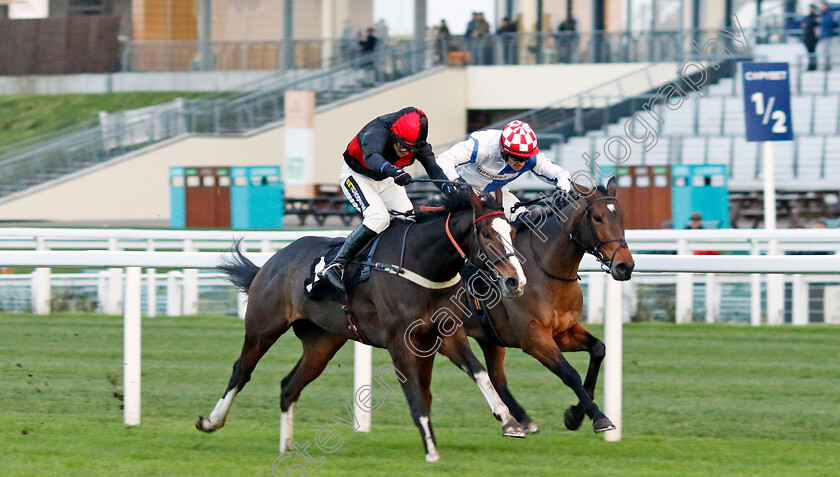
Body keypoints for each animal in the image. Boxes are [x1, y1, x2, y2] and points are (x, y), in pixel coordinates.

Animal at [194, 190, 528, 462]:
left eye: (511, 231)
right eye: (486, 233)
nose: (516, 281)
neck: (422, 265)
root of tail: (273, 260)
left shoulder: (446, 334)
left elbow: (479, 373)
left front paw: (509, 420)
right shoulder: (399, 342)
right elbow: (416, 395)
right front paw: (431, 450)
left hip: (321, 343)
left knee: (289, 386)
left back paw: (286, 446)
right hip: (263, 327)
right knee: (242, 370)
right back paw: (211, 421)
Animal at [462, 176, 632, 436]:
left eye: (622, 216)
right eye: (597, 217)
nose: (625, 266)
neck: (544, 267)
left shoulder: (563, 330)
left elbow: (598, 349)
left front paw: (575, 415)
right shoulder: (534, 337)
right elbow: (569, 373)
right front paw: (599, 417)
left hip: (488, 336)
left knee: (496, 376)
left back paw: (521, 419)